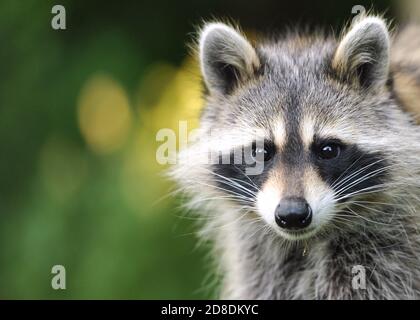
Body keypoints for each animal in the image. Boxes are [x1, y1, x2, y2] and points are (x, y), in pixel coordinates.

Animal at [169, 15, 420, 300]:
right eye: (260, 152)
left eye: (328, 150)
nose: (292, 214)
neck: (304, 243)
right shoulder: (260, 265)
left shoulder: (390, 258)